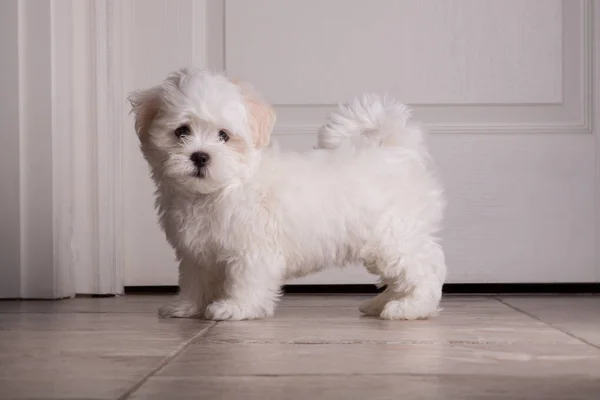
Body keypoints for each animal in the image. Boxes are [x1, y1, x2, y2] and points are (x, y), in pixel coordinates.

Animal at [129, 67, 446, 320]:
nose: (199, 156)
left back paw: (410, 308)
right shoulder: (195, 252)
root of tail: (396, 149)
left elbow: (246, 280)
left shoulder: (252, 250)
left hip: (394, 237)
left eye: (224, 136)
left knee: (425, 269)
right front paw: (186, 306)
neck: (221, 189)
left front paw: (236, 308)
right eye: (181, 131)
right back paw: (380, 304)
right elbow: (195, 280)